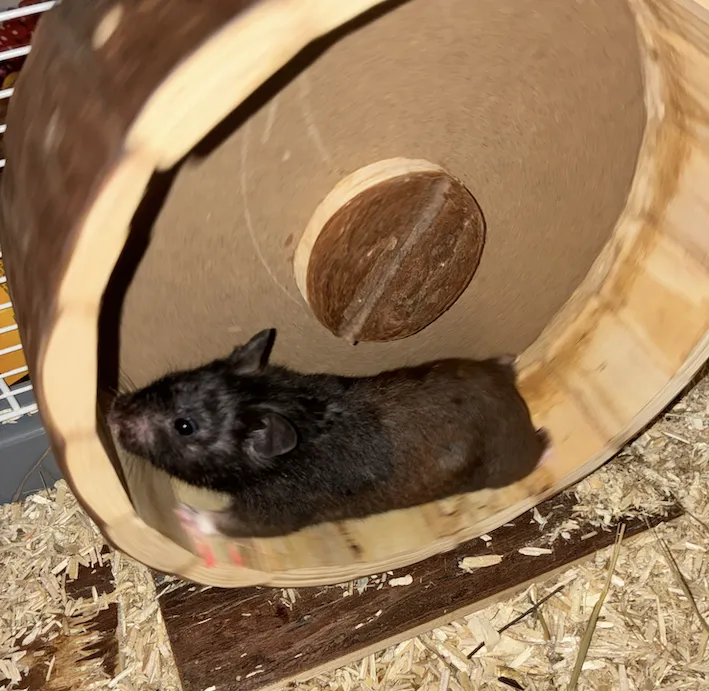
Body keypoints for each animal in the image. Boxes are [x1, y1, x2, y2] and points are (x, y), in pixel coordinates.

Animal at [107, 328, 552, 542]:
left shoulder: (279, 506)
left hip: (507, 464)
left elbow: (237, 523)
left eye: (185, 426)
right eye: (175, 379)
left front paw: (187, 515)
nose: (111, 414)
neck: (286, 404)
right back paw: (507, 358)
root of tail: (513, 397)